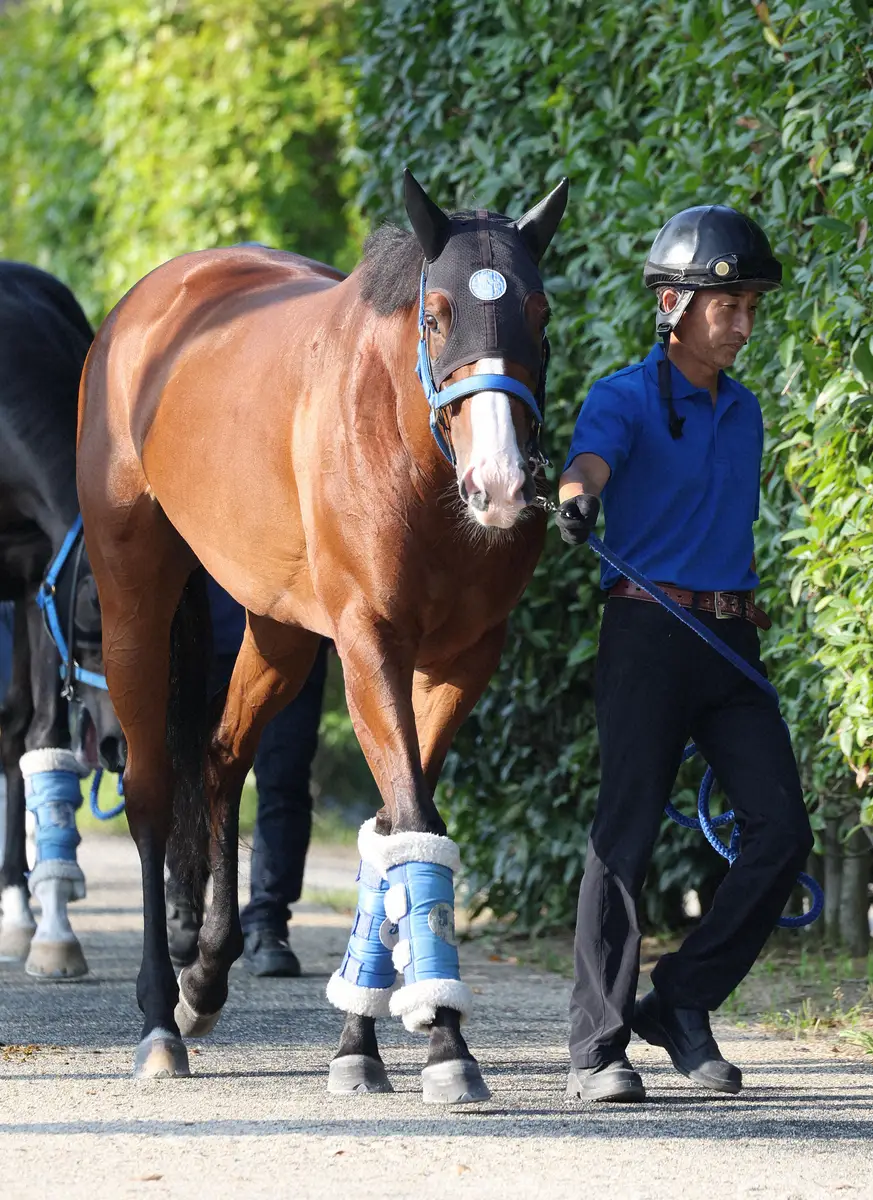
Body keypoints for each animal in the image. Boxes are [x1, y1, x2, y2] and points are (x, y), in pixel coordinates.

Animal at [78, 174, 568, 1099]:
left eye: (540, 311)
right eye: (437, 315)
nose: (499, 484)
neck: (410, 452)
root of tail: (146, 304)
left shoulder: (461, 661)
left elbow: (395, 827)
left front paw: (362, 1042)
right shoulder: (369, 644)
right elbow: (408, 814)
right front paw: (443, 1041)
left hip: (276, 630)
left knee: (221, 757)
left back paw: (208, 975)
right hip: (131, 597)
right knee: (153, 790)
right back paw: (161, 1017)